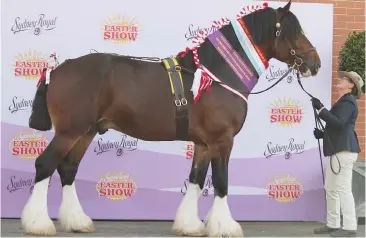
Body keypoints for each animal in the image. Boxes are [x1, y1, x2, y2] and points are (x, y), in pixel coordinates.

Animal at [20, 0, 320, 236]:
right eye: (293, 31)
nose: (315, 64)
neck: (217, 74)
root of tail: (56, 69)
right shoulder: (222, 141)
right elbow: (221, 181)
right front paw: (225, 227)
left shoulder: (203, 144)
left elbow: (197, 179)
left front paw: (190, 225)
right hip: (70, 131)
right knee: (45, 164)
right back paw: (38, 224)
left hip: (86, 132)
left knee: (67, 169)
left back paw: (77, 221)